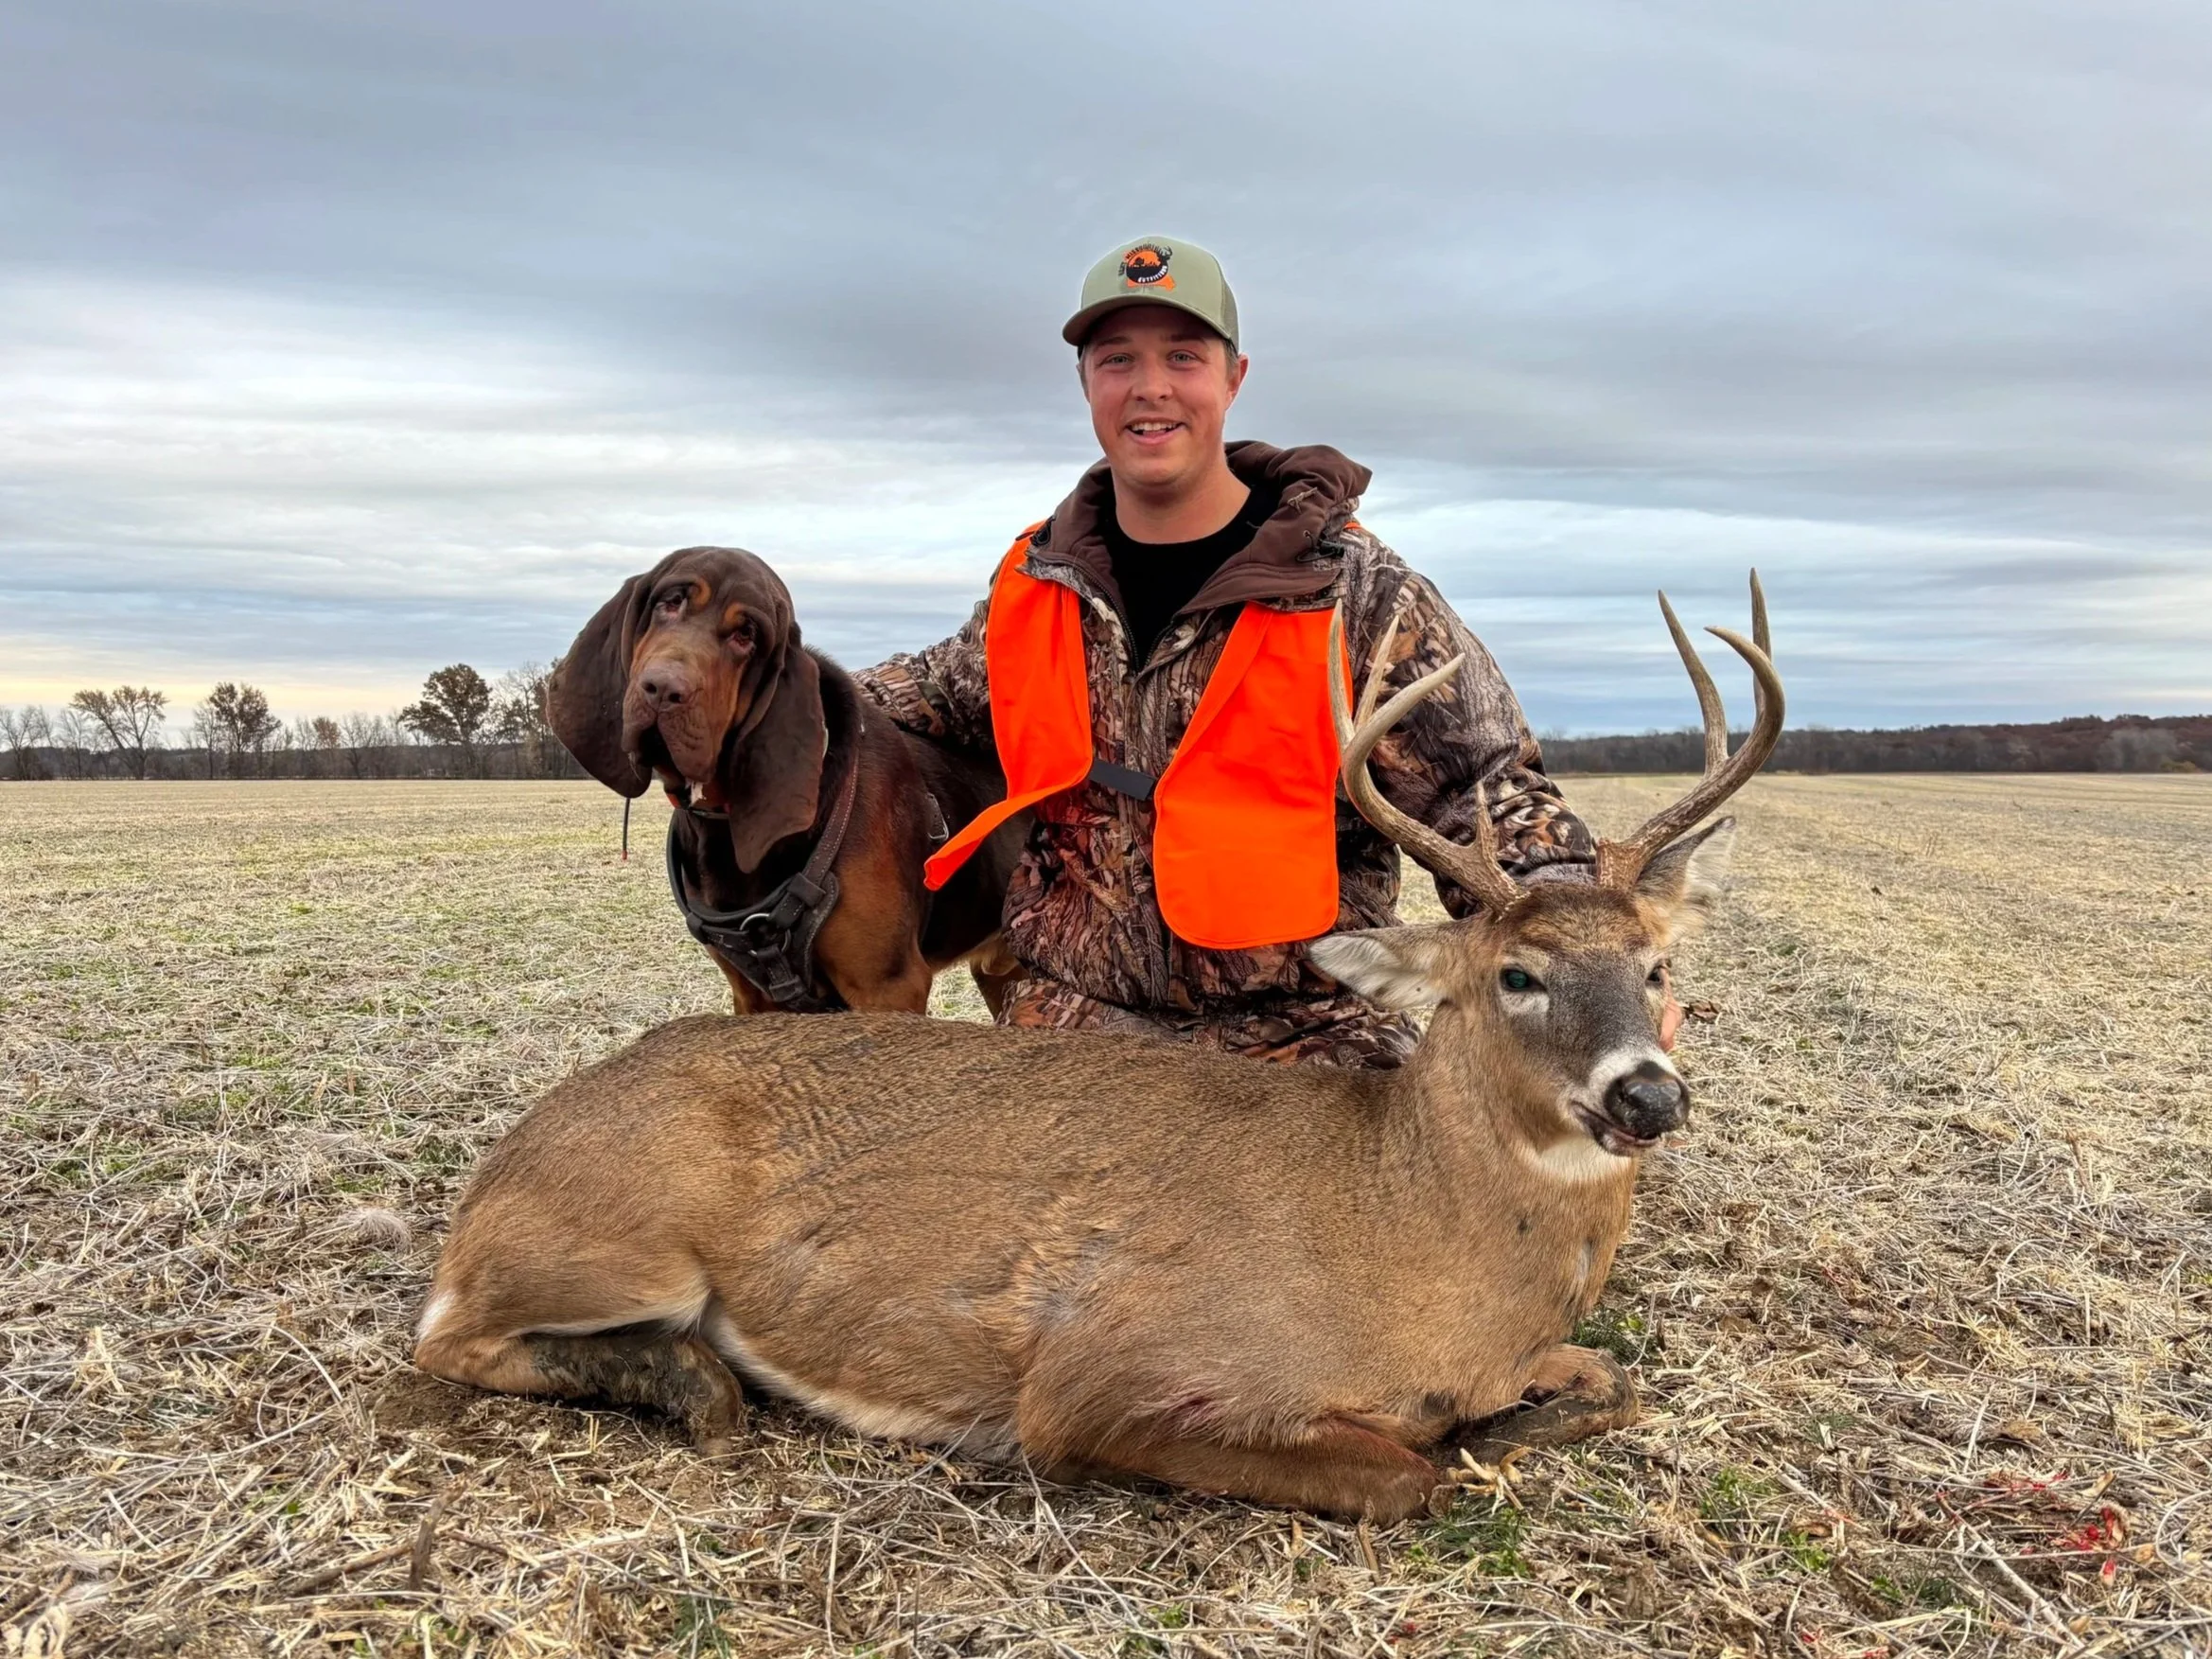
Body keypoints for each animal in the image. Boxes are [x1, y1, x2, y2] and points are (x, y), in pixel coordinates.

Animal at [413, 578, 1783, 1521]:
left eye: (1656, 970)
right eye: (1516, 974)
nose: (1646, 1093)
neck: (1409, 1236)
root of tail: (504, 1162)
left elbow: (1608, 1383)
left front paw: (1505, 1424)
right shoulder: (1102, 1370)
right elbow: (1404, 1474)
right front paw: (1462, 1445)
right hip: (617, 1236)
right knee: (446, 1333)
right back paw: (693, 1380)